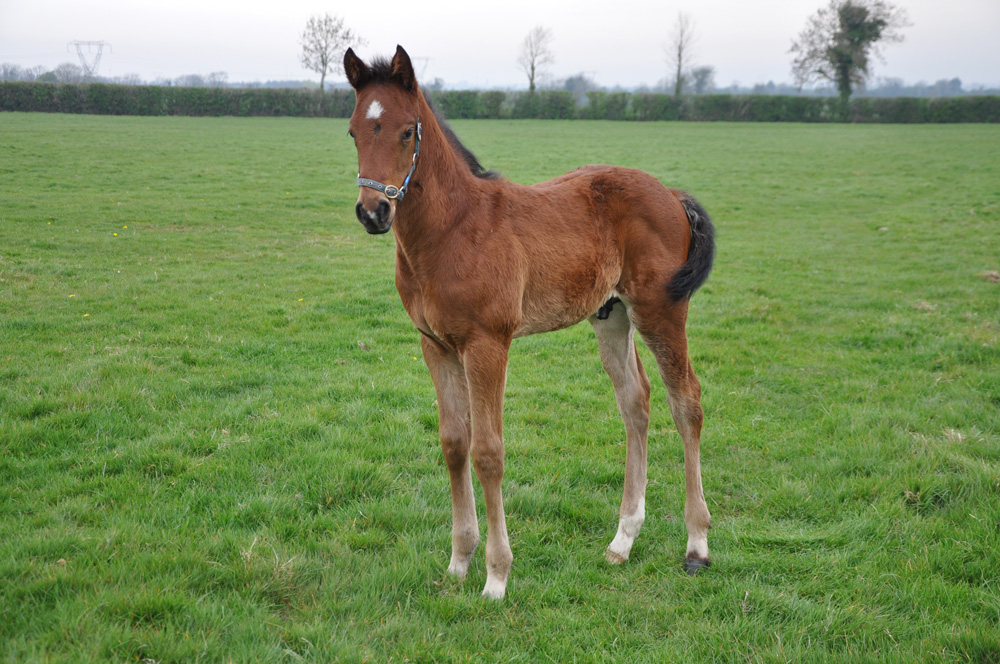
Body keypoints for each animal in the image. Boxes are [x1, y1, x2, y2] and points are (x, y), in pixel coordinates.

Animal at [346, 44, 720, 600]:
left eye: (407, 131)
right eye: (352, 130)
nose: (373, 212)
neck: (450, 231)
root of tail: (670, 192)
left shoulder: (487, 344)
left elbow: (488, 452)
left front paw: (496, 576)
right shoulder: (435, 344)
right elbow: (454, 443)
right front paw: (458, 563)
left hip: (661, 310)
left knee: (686, 401)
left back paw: (697, 545)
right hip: (612, 315)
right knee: (636, 402)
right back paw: (623, 540)